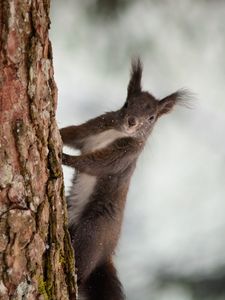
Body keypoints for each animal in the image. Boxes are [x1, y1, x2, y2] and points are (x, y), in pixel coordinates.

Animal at [60, 59, 188, 300]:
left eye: (151, 118)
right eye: (127, 103)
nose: (132, 122)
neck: (117, 133)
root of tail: (106, 254)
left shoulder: (123, 157)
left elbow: (96, 164)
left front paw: (65, 158)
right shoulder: (93, 128)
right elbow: (72, 133)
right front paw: (55, 132)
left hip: (94, 231)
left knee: (81, 267)